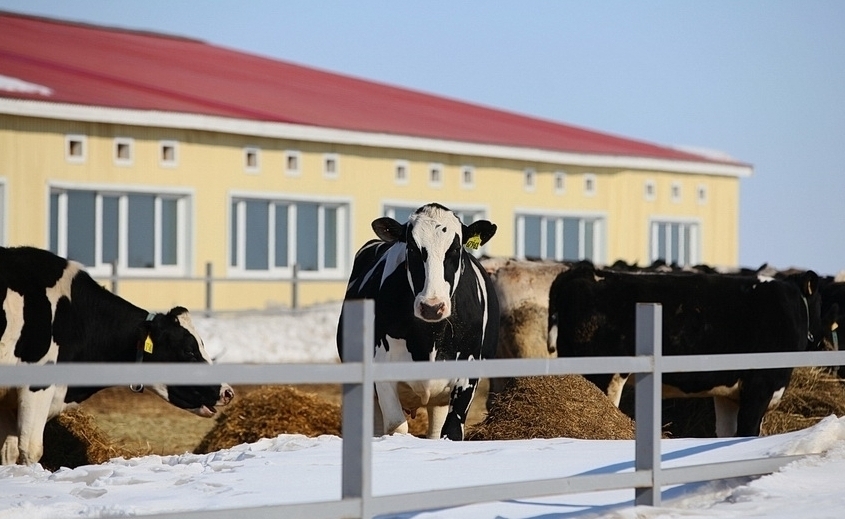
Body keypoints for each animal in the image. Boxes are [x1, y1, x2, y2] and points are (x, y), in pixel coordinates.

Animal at [337, 203, 499, 441]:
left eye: (455, 250)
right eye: (412, 249)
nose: (432, 306)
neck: (429, 338)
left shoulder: (467, 374)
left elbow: (451, 430)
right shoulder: (383, 373)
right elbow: (396, 427)